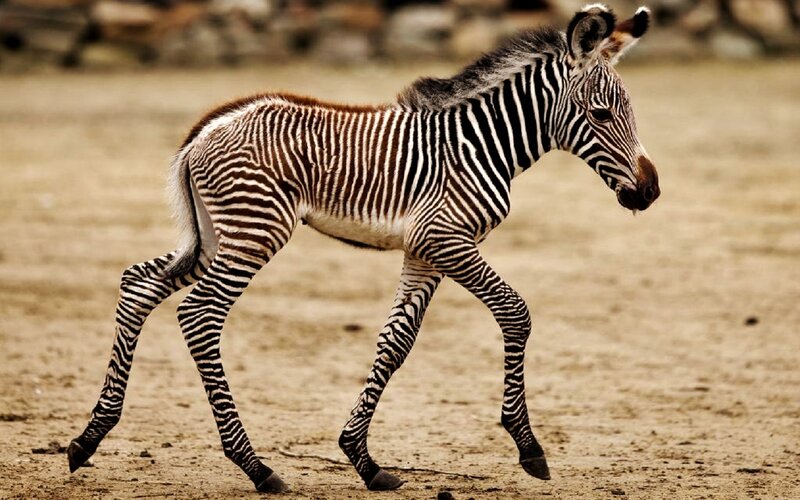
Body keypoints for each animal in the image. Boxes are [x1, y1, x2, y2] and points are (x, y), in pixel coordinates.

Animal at [68, 3, 659, 493]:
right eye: (602, 115)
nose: (649, 192)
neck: (482, 145)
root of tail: (205, 131)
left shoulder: (425, 251)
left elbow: (396, 342)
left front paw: (363, 460)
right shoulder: (447, 240)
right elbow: (515, 313)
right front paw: (528, 446)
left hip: (214, 236)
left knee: (138, 283)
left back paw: (88, 438)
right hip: (255, 231)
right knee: (199, 314)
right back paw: (256, 468)